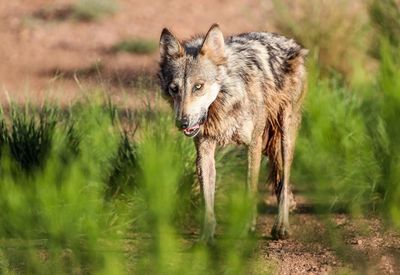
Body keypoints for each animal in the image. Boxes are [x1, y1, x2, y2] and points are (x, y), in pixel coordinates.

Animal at [158, 24, 308, 244]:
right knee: (281, 183)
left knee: (286, 178)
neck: (224, 104)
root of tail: (290, 42)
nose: (182, 122)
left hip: (285, 136)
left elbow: (250, 189)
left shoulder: (253, 145)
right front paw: (206, 236)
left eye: (198, 86)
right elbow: (207, 200)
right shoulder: (204, 151)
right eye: (174, 89)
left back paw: (281, 226)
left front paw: (247, 228)